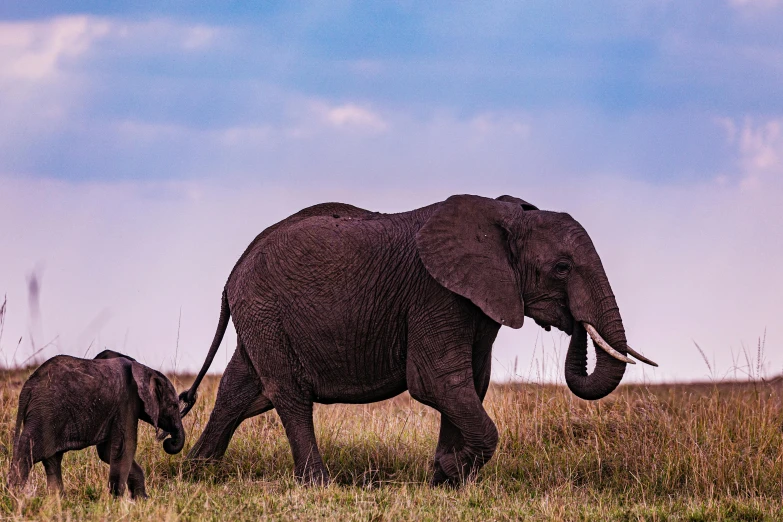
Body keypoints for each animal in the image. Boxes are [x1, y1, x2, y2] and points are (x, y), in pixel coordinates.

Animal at [7, 350, 185, 496]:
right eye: (174, 405)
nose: (168, 441)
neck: (145, 369)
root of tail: (27, 388)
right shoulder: (126, 402)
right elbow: (125, 447)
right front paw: (117, 502)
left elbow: (107, 451)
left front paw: (141, 500)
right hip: (45, 412)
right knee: (28, 451)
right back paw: (15, 497)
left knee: (52, 459)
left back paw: (57, 500)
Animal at [179, 194, 656, 484]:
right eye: (561, 269)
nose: (574, 322)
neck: (502, 217)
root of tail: (234, 270)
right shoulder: (436, 293)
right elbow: (438, 382)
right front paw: (449, 472)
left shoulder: (476, 301)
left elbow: (470, 383)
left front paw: (444, 480)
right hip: (266, 312)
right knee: (288, 394)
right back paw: (317, 484)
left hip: (261, 319)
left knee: (241, 390)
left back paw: (196, 470)